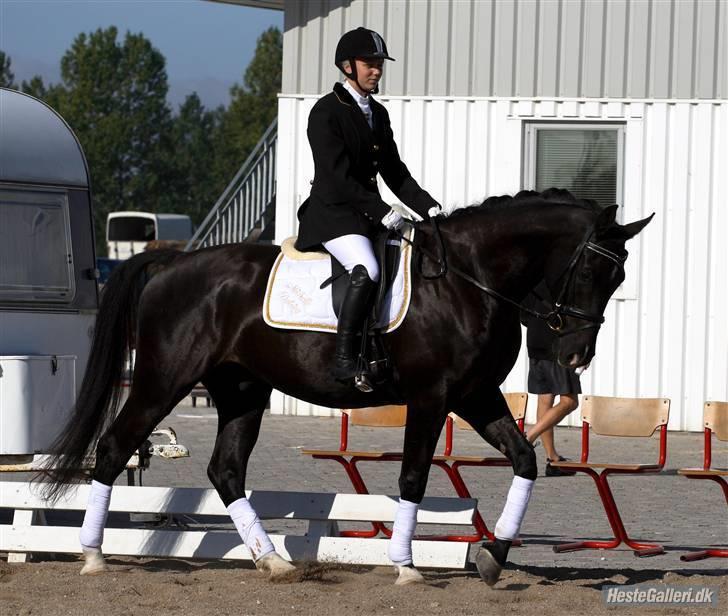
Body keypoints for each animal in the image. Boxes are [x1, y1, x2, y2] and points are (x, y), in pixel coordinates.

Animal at [42, 188, 652, 584]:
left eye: (619, 276)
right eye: (591, 271)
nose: (575, 355)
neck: (469, 280)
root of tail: (171, 264)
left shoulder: (475, 396)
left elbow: (525, 459)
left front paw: (492, 555)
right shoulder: (431, 398)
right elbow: (412, 476)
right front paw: (405, 566)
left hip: (242, 392)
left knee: (226, 471)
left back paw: (273, 561)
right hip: (163, 380)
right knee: (114, 447)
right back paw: (93, 556)